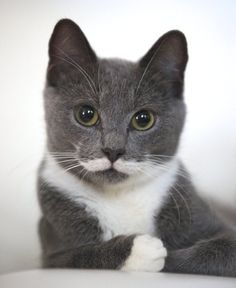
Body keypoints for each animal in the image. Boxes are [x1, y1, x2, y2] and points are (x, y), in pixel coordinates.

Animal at [37, 18, 235, 276]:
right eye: (86, 114)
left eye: (143, 119)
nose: (113, 150)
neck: (119, 197)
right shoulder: (50, 254)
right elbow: (81, 255)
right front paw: (141, 249)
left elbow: (218, 249)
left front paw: (164, 253)